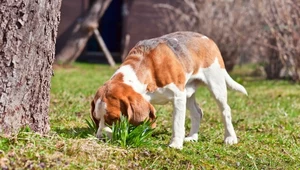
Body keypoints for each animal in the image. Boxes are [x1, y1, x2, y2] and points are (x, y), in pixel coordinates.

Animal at [90, 31, 247, 148]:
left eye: (113, 119)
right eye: (96, 119)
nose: (100, 138)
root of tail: (207, 39)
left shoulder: (178, 96)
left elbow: (177, 123)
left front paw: (175, 144)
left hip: (216, 86)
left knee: (225, 111)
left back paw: (230, 138)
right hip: (188, 92)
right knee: (197, 113)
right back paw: (192, 137)